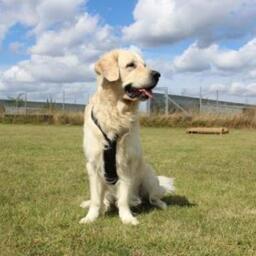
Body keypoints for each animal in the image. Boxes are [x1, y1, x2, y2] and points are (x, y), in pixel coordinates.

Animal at [80, 49, 174, 225]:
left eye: (145, 65)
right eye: (131, 65)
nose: (157, 74)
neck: (116, 113)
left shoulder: (126, 164)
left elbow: (123, 198)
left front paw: (127, 218)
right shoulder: (93, 165)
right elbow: (96, 199)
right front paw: (90, 217)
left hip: (149, 176)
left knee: (152, 197)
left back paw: (156, 203)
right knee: (104, 199)